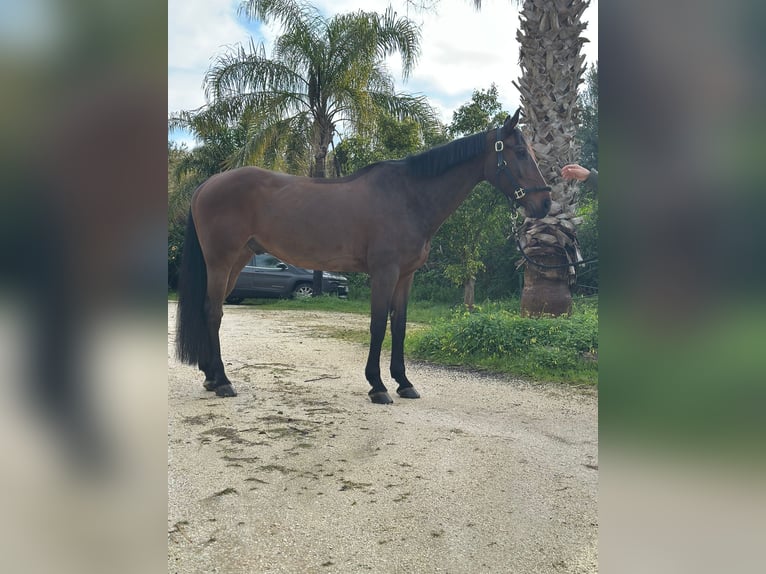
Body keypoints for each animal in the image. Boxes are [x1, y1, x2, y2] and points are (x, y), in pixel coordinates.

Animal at [175, 108, 551, 404]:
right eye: (520, 151)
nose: (545, 203)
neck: (408, 196)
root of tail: (206, 184)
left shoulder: (405, 276)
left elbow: (399, 326)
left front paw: (404, 382)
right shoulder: (384, 272)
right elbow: (378, 324)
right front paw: (378, 385)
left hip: (237, 260)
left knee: (211, 310)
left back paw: (211, 377)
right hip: (221, 261)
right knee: (213, 311)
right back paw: (223, 381)